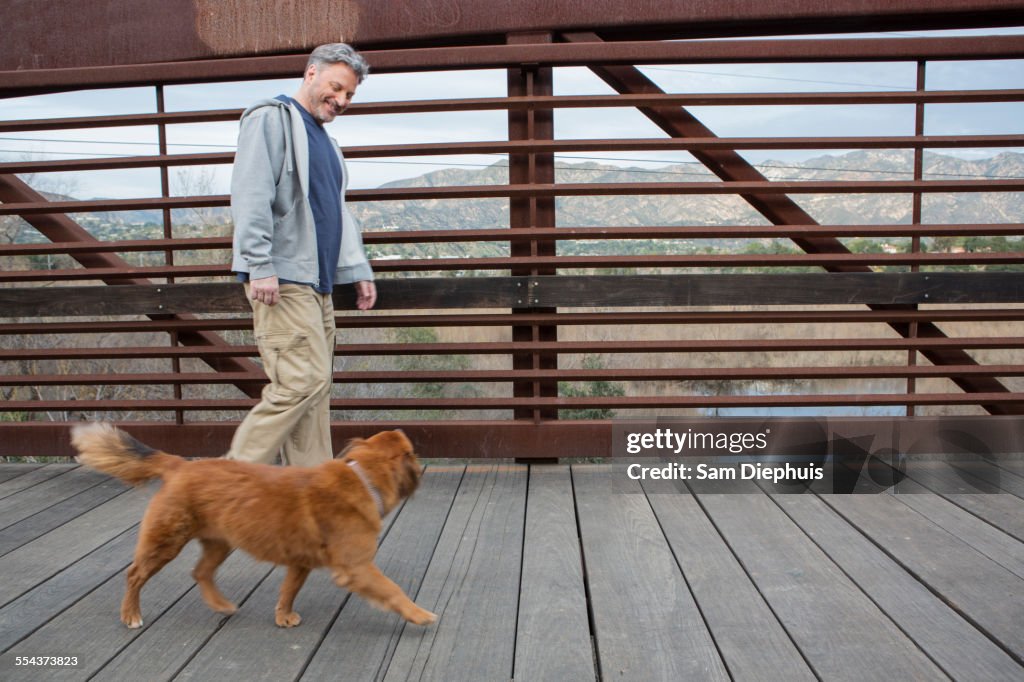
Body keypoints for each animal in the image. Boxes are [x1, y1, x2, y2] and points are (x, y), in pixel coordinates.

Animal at [67, 421, 436, 630]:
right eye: (413, 451)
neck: (363, 478)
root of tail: (179, 466)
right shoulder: (357, 567)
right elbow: (393, 591)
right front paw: (419, 614)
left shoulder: (299, 564)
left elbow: (288, 591)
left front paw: (283, 616)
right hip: (166, 542)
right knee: (134, 575)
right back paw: (130, 614)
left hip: (220, 542)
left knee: (200, 572)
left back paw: (220, 605)